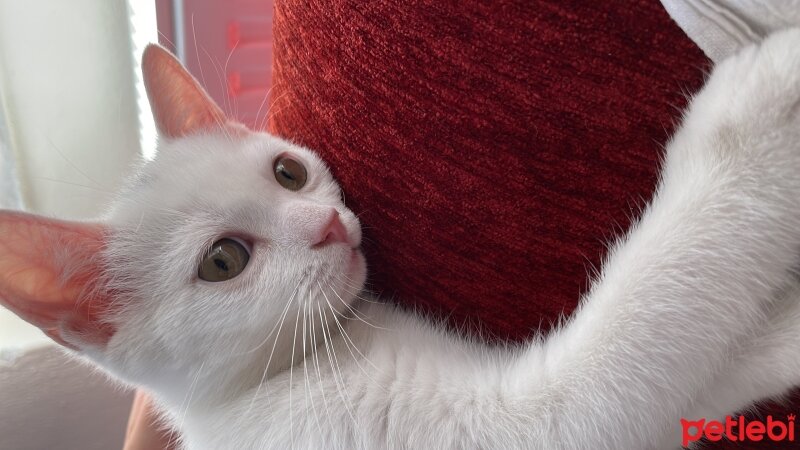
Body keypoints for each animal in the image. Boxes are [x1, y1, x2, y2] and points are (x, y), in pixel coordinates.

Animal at [1, 29, 800, 450]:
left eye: (288, 172)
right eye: (222, 261)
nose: (327, 226)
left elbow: (694, 387)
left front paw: (787, 333)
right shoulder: (517, 430)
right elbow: (633, 341)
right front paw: (765, 103)